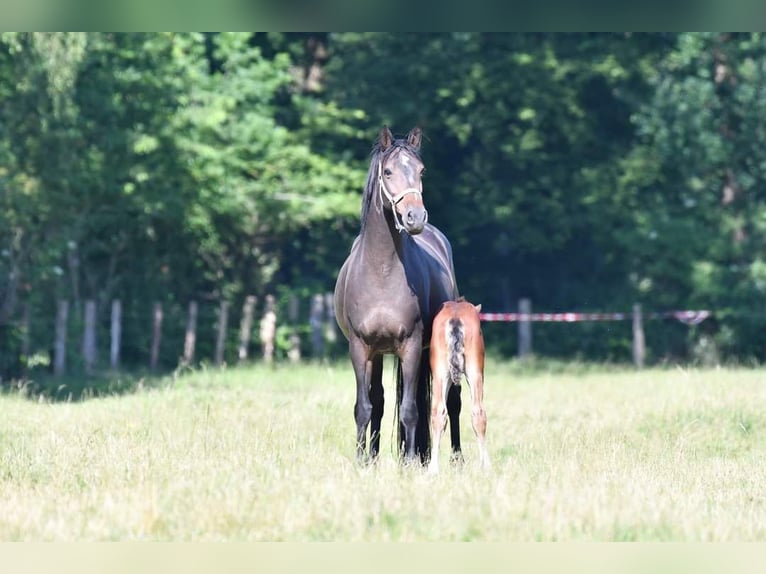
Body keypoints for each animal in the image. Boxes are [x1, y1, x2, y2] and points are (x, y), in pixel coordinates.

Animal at [336, 127, 462, 468]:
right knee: (379, 402)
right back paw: (375, 455)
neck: (381, 270)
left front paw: (409, 462)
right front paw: (362, 461)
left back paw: (453, 459)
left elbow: (410, 409)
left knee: (452, 402)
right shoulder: (360, 348)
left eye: (421, 171)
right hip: (379, 353)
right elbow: (365, 407)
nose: (414, 216)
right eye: (388, 172)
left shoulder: (411, 346)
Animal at [428, 300, 488, 474]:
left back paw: (433, 468)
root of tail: (455, 319)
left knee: (439, 412)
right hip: (475, 372)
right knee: (478, 412)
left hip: (440, 374)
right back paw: (486, 465)